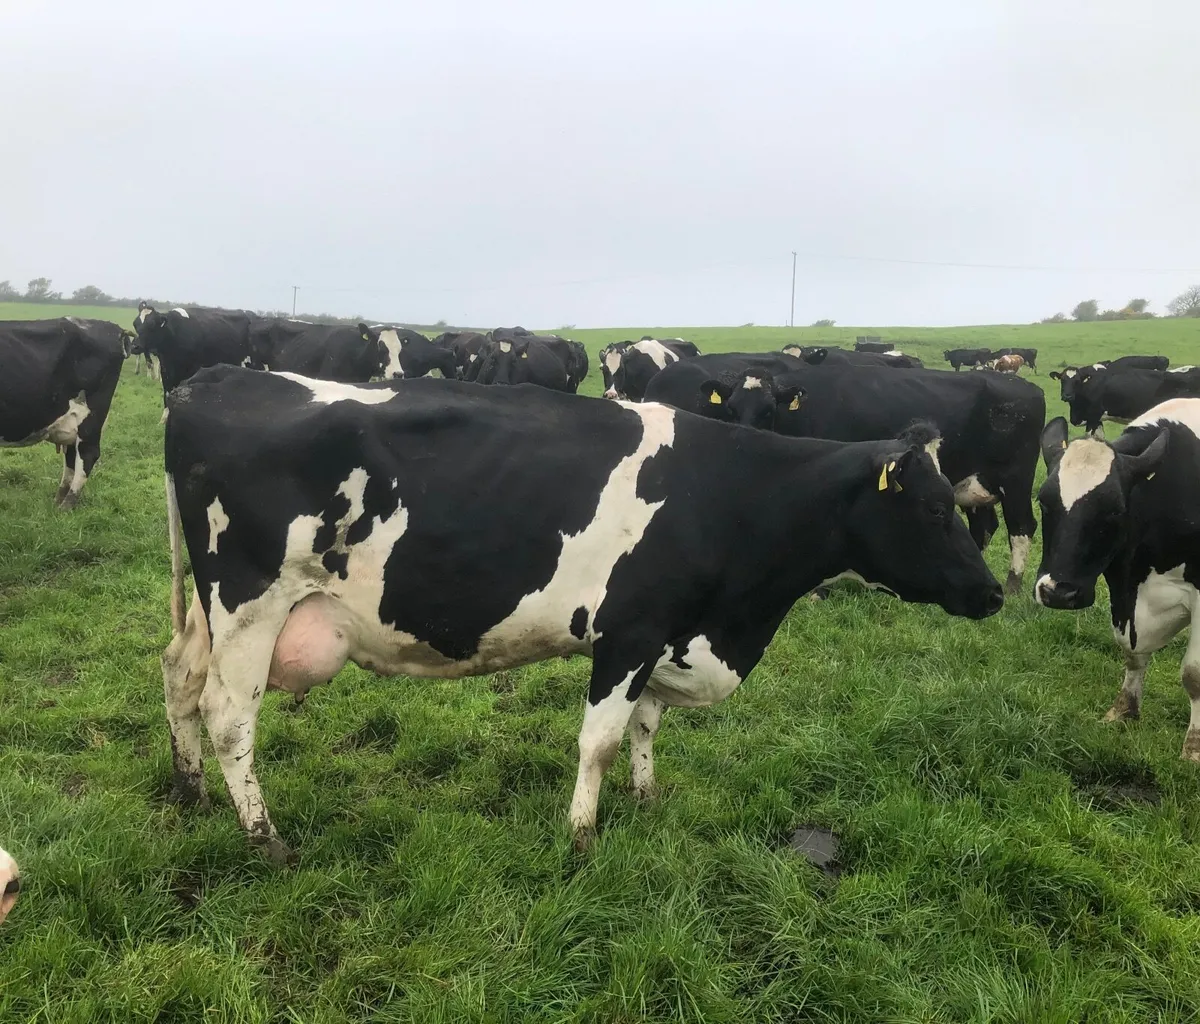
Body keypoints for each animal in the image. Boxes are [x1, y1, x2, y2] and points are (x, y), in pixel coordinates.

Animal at [0, 317, 126, 507]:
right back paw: (58, 500)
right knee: (72, 457)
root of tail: (113, 327)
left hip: (90, 418)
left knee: (87, 455)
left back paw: (67, 505)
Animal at [160, 367, 1003, 863]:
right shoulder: (629, 630)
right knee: (230, 715)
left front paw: (647, 798)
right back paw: (265, 839)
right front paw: (581, 836)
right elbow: (597, 739)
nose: (993, 593)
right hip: (251, 602)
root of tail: (207, 382)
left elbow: (645, 725)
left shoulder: (664, 635)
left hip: (207, 608)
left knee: (177, 677)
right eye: (935, 508)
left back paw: (190, 789)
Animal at [651, 358, 1046, 593]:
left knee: (1022, 527)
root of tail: (1027, 387)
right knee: (985, 527)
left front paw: (818, 591)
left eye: (767, 411)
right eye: (731, 410)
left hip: (1016, 480)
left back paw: (1013, 586)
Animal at [1033, 400, 1200, 762]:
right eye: (1043, 502)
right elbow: (1132, 652)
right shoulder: (1124, 586)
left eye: (1114, 510)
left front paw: (1193, 750)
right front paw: (1123, 710)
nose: (1058, 593)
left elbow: (1193, 674)